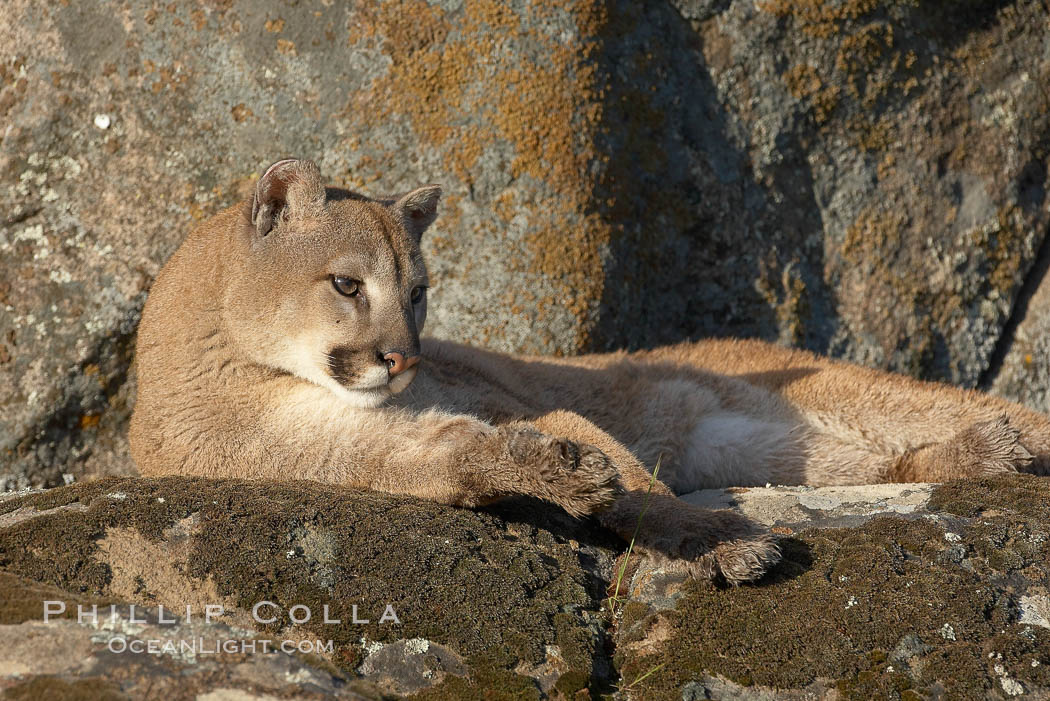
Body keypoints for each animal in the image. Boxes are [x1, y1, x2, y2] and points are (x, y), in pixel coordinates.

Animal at [131, 158, 1050, 587]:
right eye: (349, 285)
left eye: (419, 292)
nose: (405, 357)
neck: (241, 376)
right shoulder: (359, 451)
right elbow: (468, 457)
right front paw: (559, 474)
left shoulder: (495, 397)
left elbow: (633, 477)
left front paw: (714, 537)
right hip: (753, 443)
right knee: (873, 464)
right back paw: (982, 454)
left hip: (823, 393)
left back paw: (1003, 442)